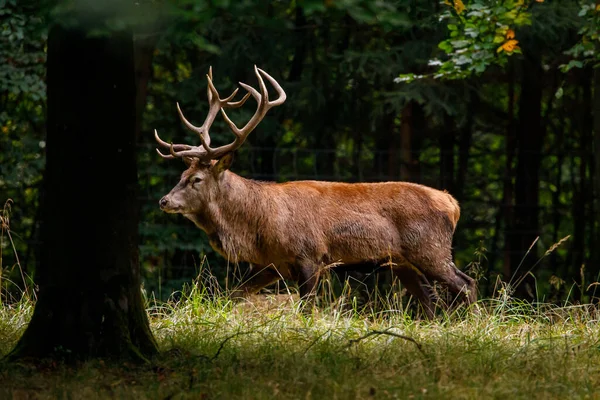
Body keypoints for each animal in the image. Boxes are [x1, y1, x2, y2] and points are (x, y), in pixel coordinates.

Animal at [155, 65, 478, 318]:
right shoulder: (270, 265)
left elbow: (307, 308)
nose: (164, 201)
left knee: (467, 284)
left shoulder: (310, 255)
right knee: (429, 302)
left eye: (197, 179)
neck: (258, 223)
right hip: (402, 262)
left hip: (431, 248)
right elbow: (231, 296)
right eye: (181, 175)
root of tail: (452, 204)